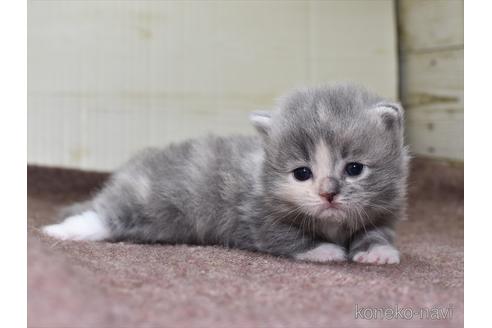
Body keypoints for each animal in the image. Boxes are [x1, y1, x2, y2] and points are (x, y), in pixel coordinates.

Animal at [42, 84, 410, 264]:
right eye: (302, 173)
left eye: (354, 169)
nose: (328, 193)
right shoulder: (257, 216)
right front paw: (324, 250)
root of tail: (127, 174)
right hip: (150, 203)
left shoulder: (381, 212)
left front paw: (377, 252)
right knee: (107, 215)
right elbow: (286, 237)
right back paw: (66, 229)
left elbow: (376, 233)